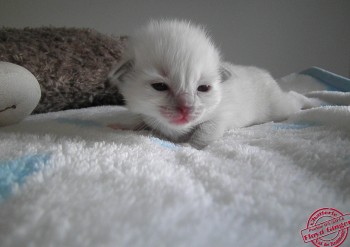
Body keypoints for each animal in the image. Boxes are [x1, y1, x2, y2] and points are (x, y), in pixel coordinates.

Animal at [107, 20, 318, 148]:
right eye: (159, 86)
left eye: (203, 88)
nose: (186, 108)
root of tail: (265, 73)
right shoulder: (147, 115)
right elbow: (140, 119)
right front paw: (121, 125)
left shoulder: (221, 114)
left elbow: (205, 131)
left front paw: (188, 146)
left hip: (278, 107)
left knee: (293, 98)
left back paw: (312, 102)